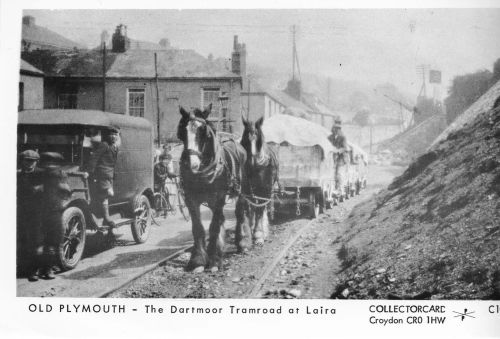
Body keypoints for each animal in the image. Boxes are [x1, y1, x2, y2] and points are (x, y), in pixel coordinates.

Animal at [178, 105, 246, 272]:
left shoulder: (220, 196)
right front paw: (197, 261)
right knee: (220, 217)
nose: (191, 165)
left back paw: (241, 243)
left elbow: (214, 226)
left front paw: (214, 260)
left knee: (239, 213)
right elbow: (198, 228)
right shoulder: (190, 198)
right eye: (182, 131)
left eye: (204, 132)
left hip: (241, 190)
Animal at [236, 115, 280, 251]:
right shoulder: (245, 189)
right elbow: (245, 208)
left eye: (256, 134)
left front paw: (258, 235)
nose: (251, 159)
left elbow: (260, 210)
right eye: (245, 136)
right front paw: (244, 240)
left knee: (261, 207)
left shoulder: (264, 189)